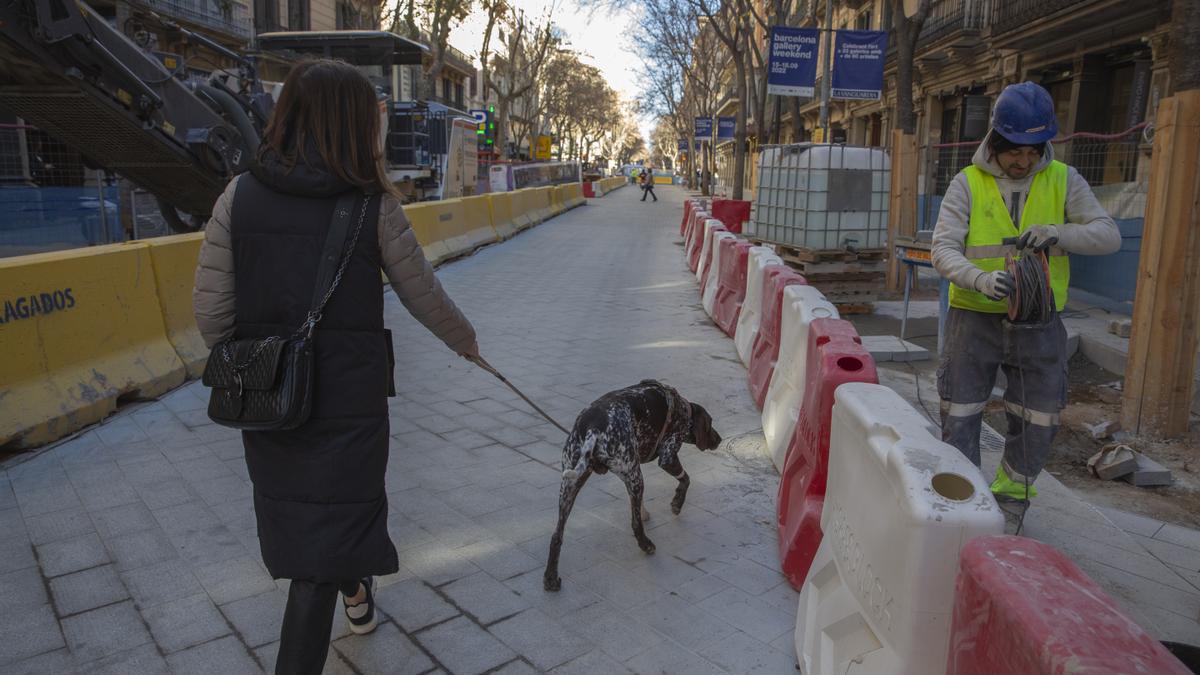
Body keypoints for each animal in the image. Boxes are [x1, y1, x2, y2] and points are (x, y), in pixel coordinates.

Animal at [544, 379, 720, 588]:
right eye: (710, 424)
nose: (719, 440)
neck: (684, 409)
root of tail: (593, 428)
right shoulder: (667, 456)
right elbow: (686, 480)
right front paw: (677, 503)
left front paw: (646, 511)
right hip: (634, 477)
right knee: (635, 524)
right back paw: (646, 544)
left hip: (570, 486)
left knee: (557, 536)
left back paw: (550, 578)